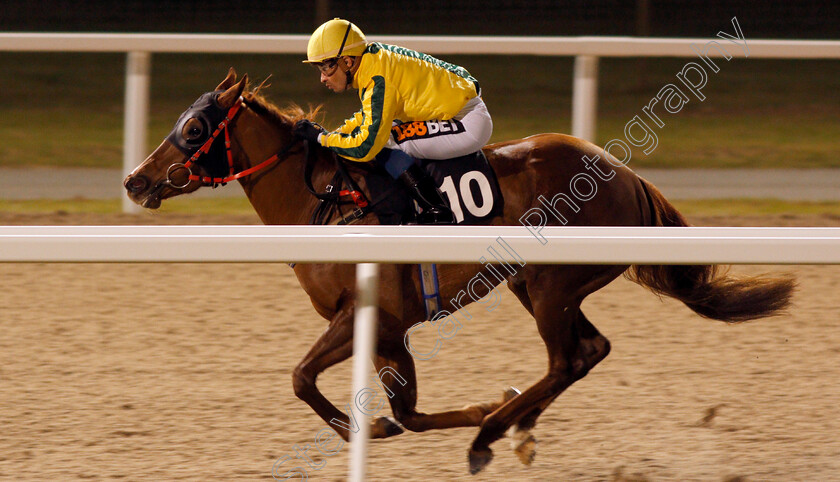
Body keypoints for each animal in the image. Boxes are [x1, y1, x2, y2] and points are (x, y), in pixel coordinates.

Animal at [123, 69, 796, 472]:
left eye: (193, 127)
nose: (135, 181)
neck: (326, 202)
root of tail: (626, 174)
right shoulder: (390, 329)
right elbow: (409, 412)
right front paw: (468, 409)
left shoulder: (369, 312)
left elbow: (302, 379)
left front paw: (372, 428)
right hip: (535, 283)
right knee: (590, 350)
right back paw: (512, 425)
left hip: (551, 285)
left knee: (566, 359)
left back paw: (489, 437)